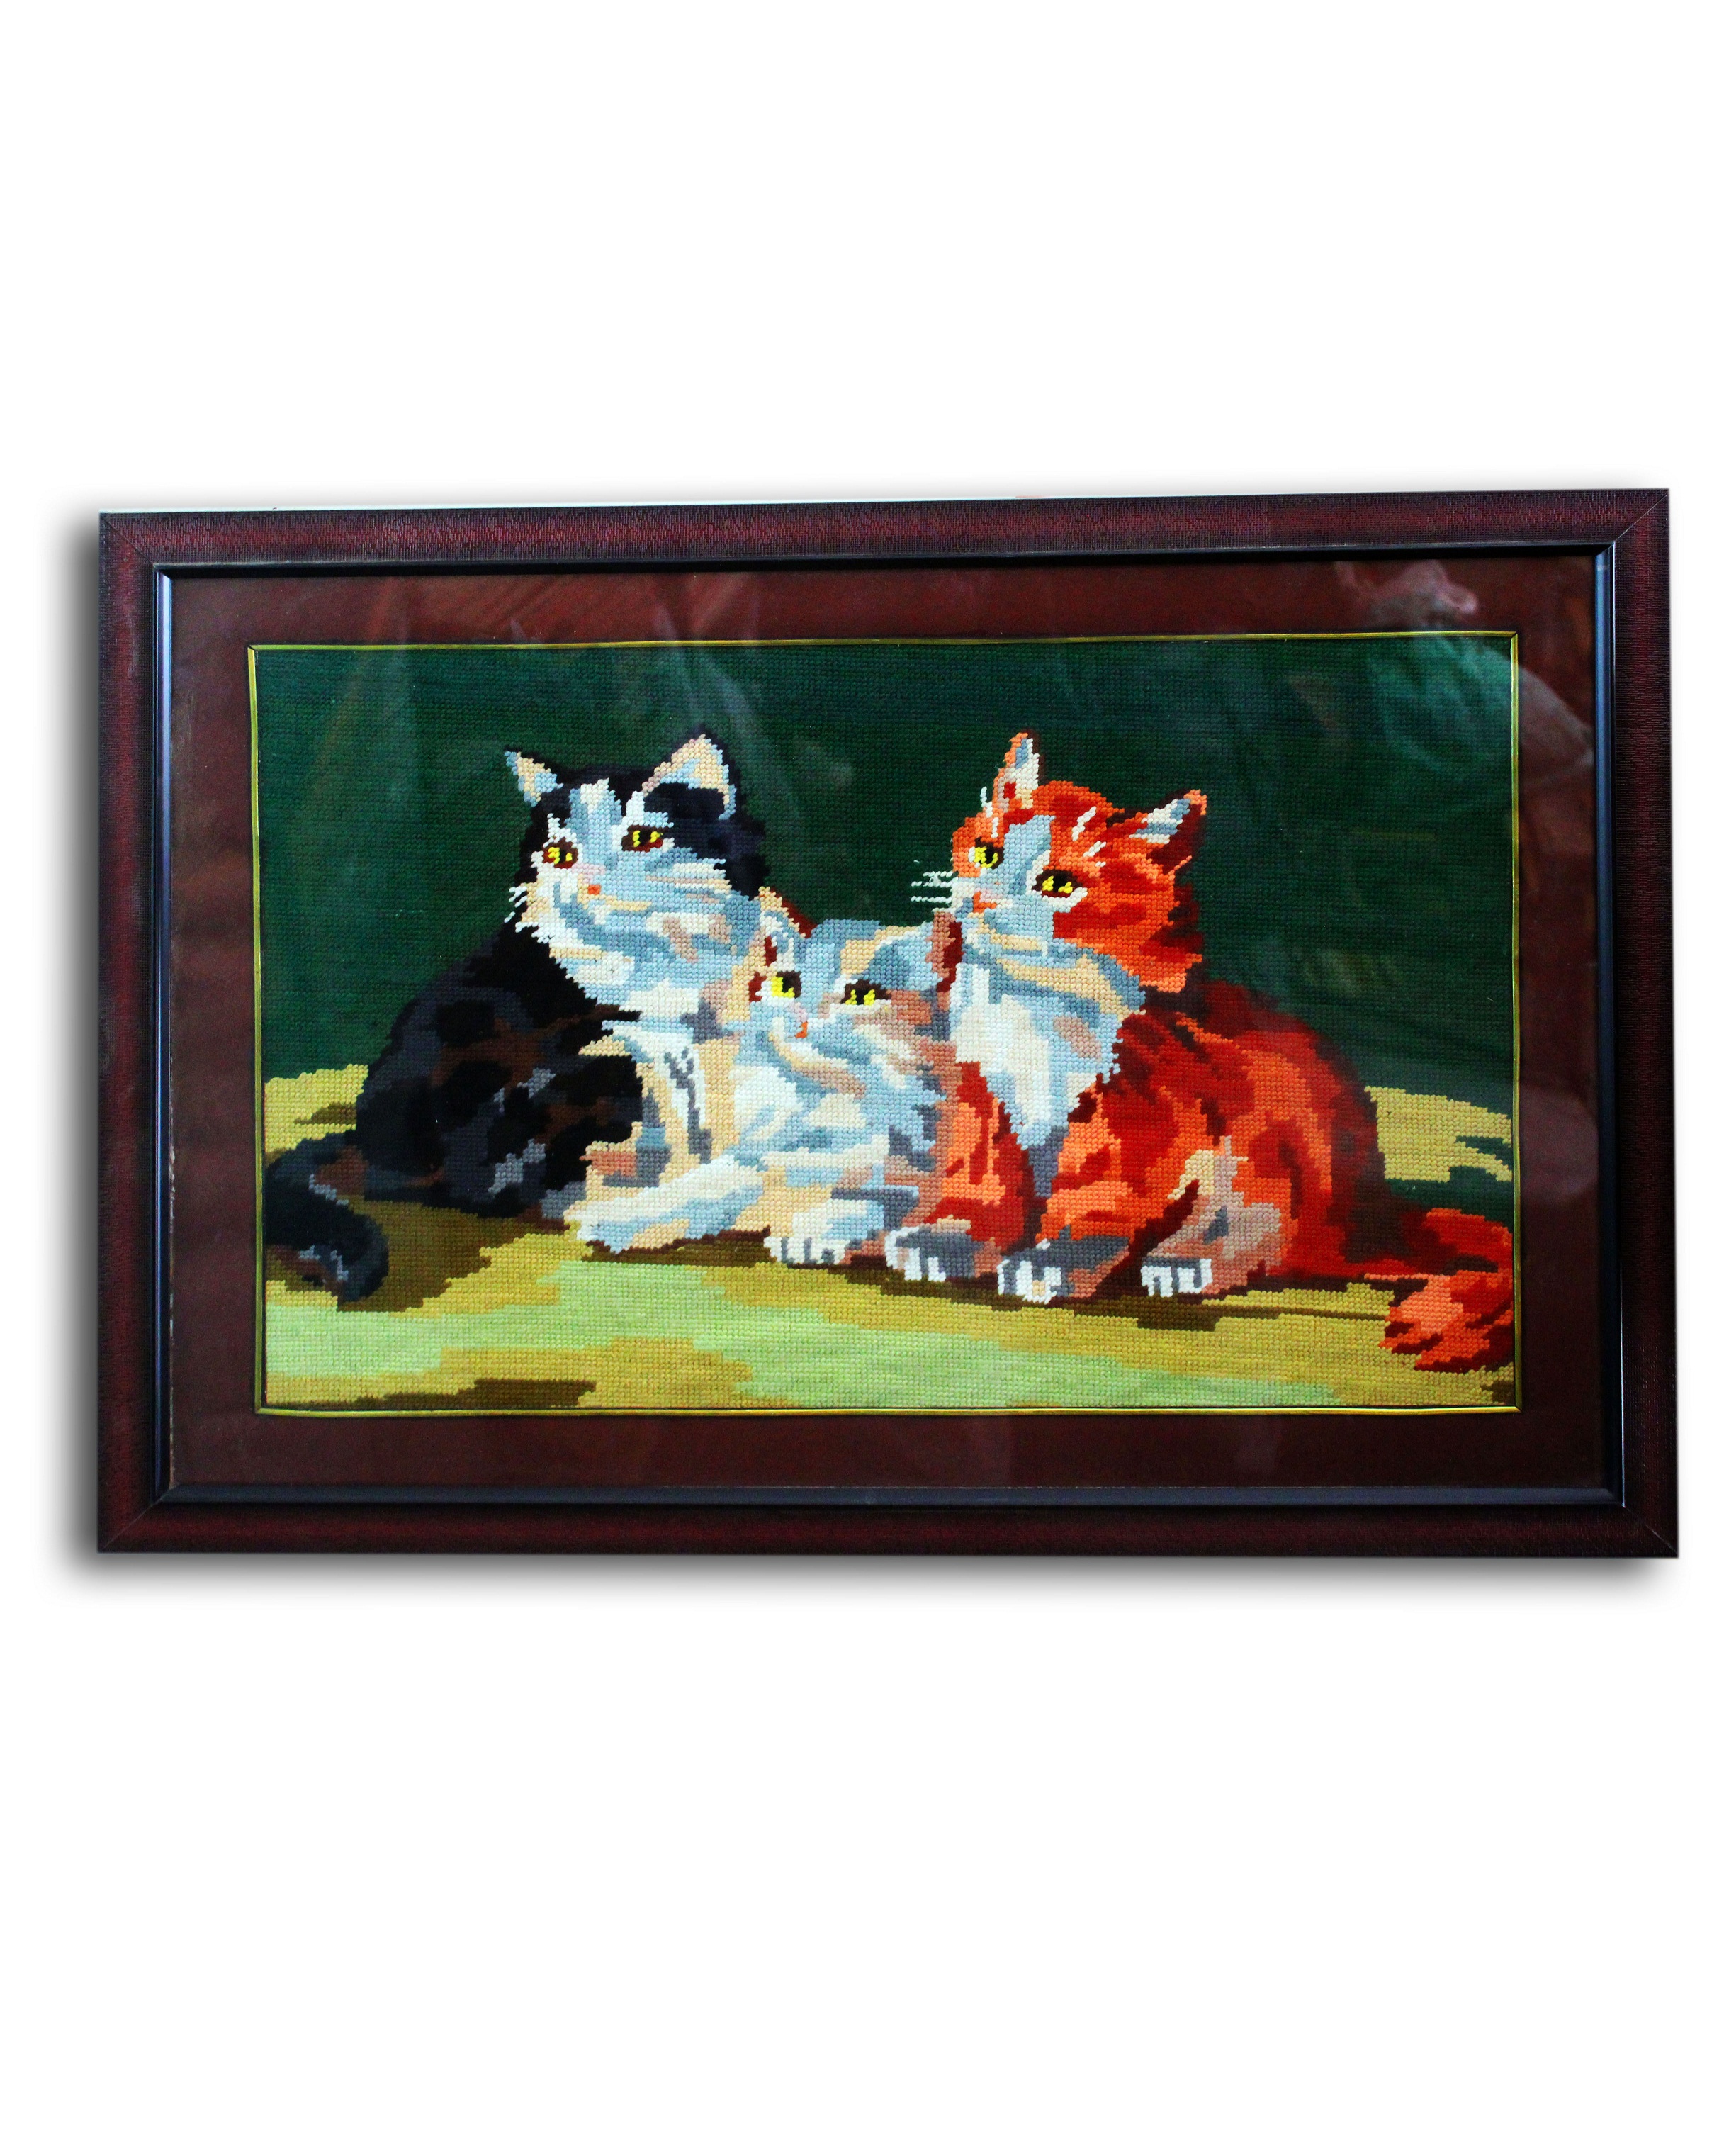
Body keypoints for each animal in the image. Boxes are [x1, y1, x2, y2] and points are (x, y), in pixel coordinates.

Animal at [263, 731, 765, 1301]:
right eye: (559, 855)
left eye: (642, 838)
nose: (586, 883)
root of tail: (363, 1138)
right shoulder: (607, 1044)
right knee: (474, 1176)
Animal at [571, 898, 948, 1266]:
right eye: (787, 985)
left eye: (860, 996)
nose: (803, 1017)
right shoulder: (753, 1155)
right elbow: (688, 1192)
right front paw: (615, 1216)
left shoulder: (910, 1177)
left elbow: (861, 1203)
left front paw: (809, 1235)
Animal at [885, 734, 1514, 1372]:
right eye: (987, 854)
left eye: (1058, 884)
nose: (983, 902)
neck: (1028, 1000)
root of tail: (1370, 1211)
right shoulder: (981, 1092)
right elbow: (980, 1176)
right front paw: (951, 1237)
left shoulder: (1133, 1109)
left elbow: (1090, 1203)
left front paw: (1052, 1261)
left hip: (1264, 1123)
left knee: (1260, 1237)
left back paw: (1186, 1258)